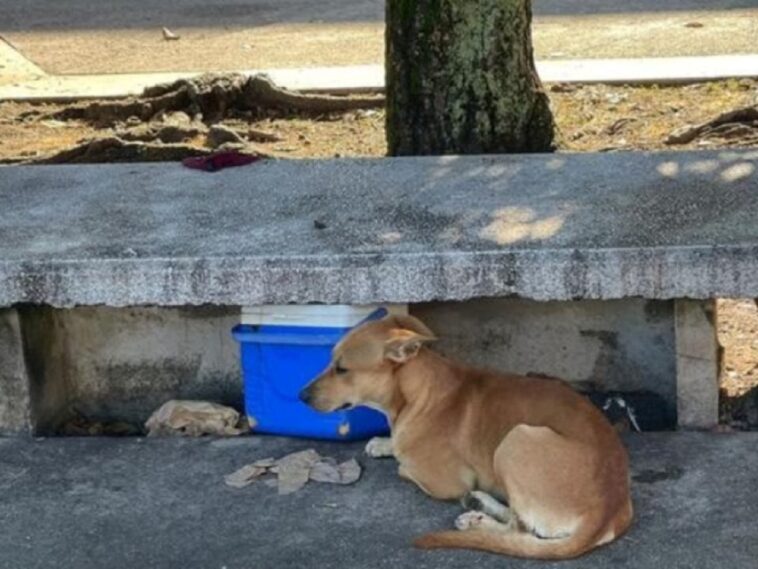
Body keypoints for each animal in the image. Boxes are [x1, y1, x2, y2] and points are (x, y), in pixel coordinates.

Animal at [300, 316, 632, 560]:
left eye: (342, 369)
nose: (300, 396)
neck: (419, 393)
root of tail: (606, 512)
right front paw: (383, 442)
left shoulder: (445, 482)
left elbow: (403, 466)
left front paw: (394, 448)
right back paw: (480, 503)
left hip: (516, 438)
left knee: (519, 529)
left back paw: (477, 520)